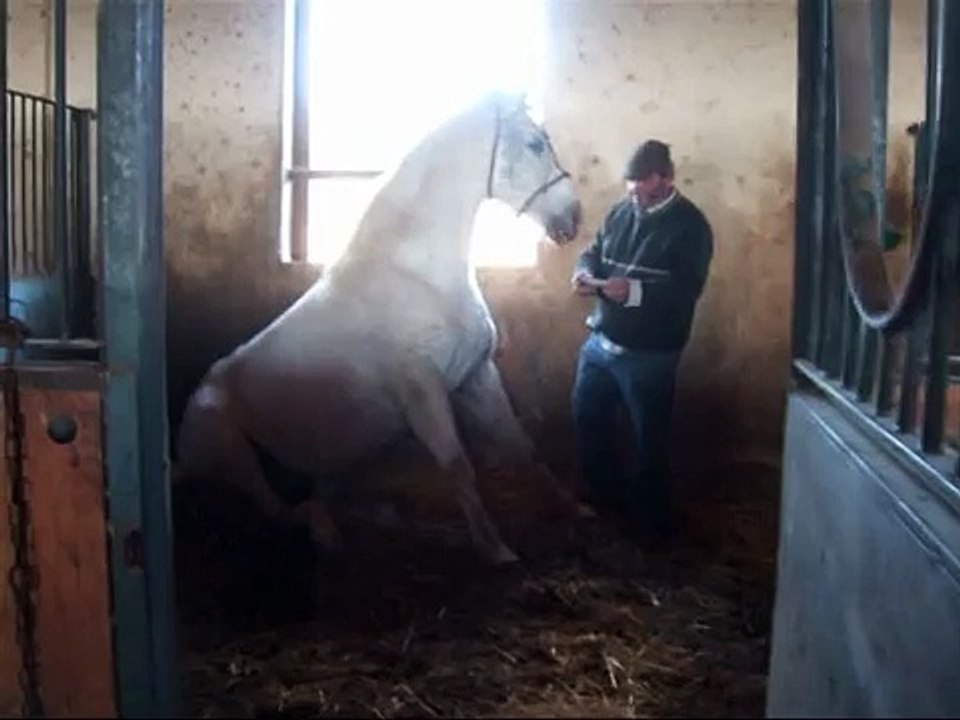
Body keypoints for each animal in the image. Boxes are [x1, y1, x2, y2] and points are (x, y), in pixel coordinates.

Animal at [174, 93, 583, 566]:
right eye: (535, 145)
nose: (573, 216)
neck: (417, 274)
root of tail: (179, 456)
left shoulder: (476, 375)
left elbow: (519, 445)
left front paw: (572, 507)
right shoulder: (424, 392)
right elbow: (458, 466)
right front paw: (496, 549)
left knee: (317, 498)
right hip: (232, 448)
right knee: (283, 510)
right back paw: (327, 535)